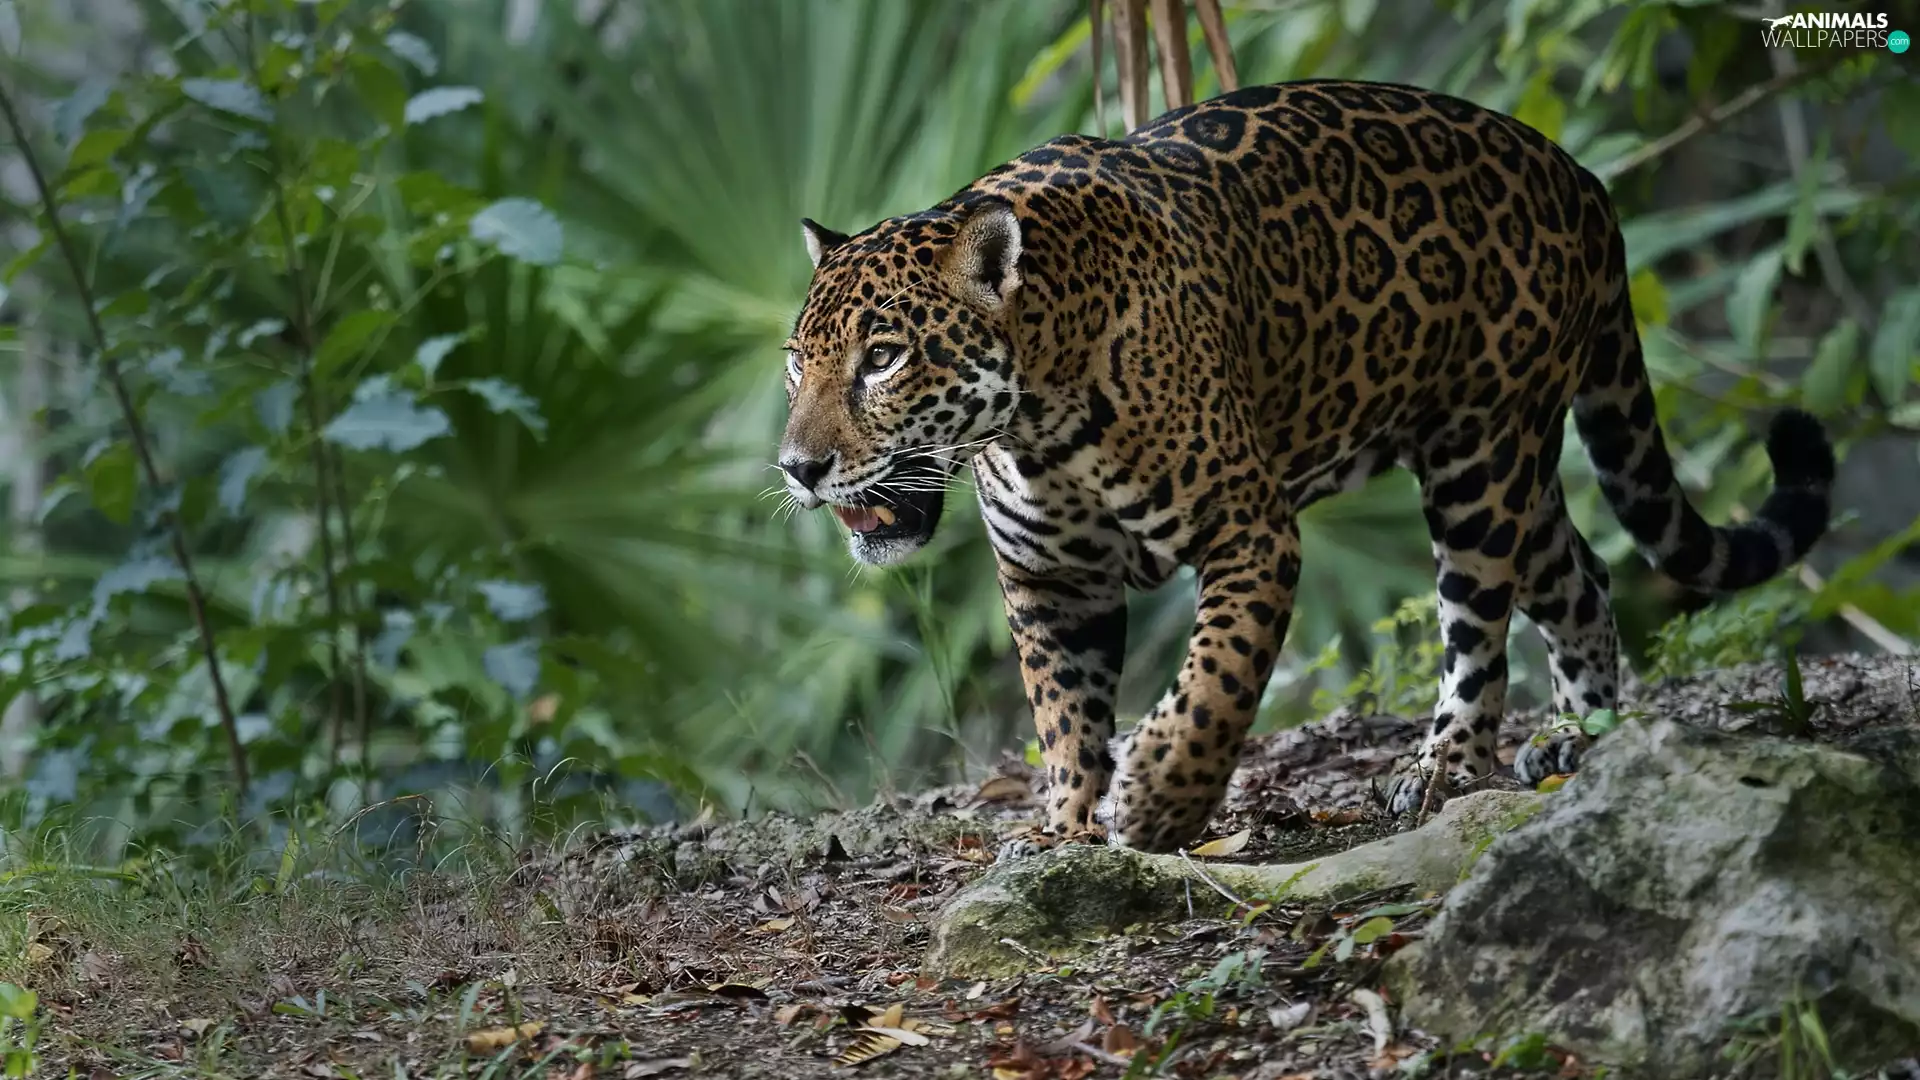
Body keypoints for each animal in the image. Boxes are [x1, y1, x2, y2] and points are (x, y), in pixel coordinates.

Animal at [775, 78, 1835, 856]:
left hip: (1482, 458)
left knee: (1478, 627)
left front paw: (1159, 800)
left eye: (882, 358)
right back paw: (1580, 737)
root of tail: (1579, 175)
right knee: (1581, 575)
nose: (796, 467)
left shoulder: (1250, 529)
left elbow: (1217, 680)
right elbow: (1064, 714)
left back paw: (1447, 766)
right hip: (1514, 472)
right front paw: (1069, 829)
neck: (1039, 420)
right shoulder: (1050, 580)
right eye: (796, 363)